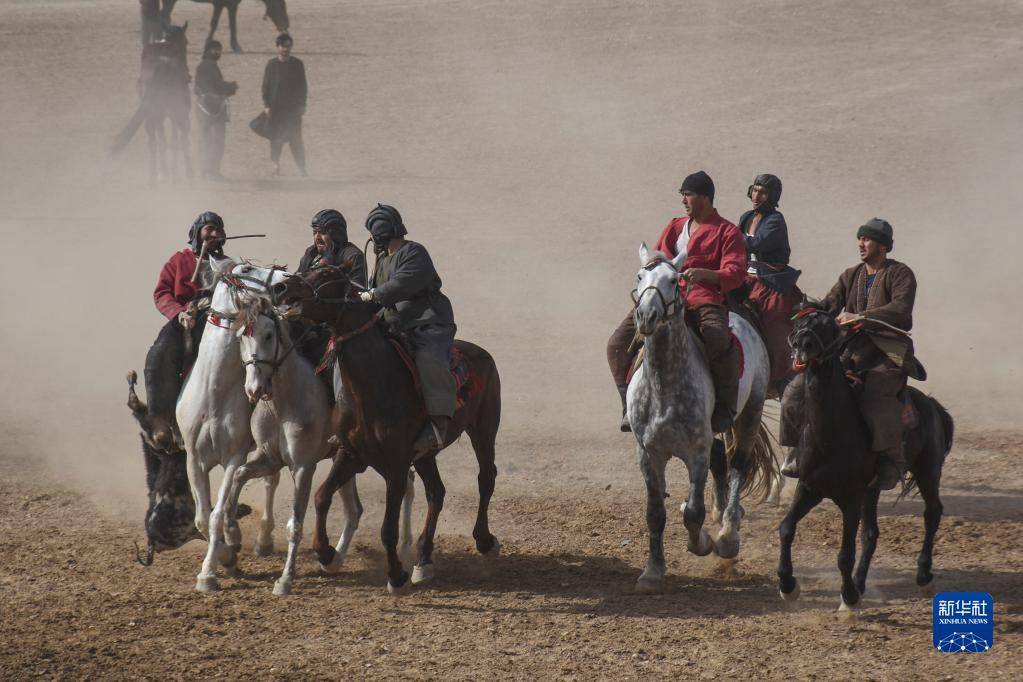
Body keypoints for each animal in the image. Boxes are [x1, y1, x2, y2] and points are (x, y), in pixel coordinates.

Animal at [112, 22, 193, 185]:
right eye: (186, 42)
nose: (189, 75)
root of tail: (163, 65)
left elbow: (163, 140)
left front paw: (166, 172)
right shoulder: (174, 114)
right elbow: (175, 140)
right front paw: (175, 174)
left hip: (153, 113)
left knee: (153, 141)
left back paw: (153, 178)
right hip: (177, 113)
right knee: (181, 138)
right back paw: (187, 176)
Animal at [234, 296, 413, 593]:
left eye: (269, 334)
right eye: (240, 337)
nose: (253, 389)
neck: (284, 403)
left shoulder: (303, 467)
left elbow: (295, 524)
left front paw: (285, 580)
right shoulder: (269, 458)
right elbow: (239, 475)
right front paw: (230, 530)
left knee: (407, 482)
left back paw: (408, 549)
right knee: (354, 510)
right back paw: (333, 559)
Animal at [274, 263, 501, 593]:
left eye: (325, 275)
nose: (280, 288)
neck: (376, 383)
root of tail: (482, 354)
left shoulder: (396, 466)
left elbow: (388, 529)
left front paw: (396, 576)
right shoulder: (350, 455)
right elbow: (321, 496)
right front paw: (326, 553)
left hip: (484, 430)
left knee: (486, 478)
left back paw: (484, 540)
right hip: (426, 454)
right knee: (436, 492)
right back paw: (423, 559)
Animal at [626, 244, 769, 593]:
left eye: (674, 280)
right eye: (640, 277)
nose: (646, 316)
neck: (664, 385)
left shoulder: (696, 452)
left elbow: (693, 511)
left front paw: (702, 543)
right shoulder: (648, 454)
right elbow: (655, 513)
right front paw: (652, 571)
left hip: (751, 412)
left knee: (738, 465)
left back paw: (728, 534)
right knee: (723, 460)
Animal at [777, 306, 953, 609]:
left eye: (828, 326)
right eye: (799, 324)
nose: (802, 345)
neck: (832, 433)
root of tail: (931, 404)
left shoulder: (851, 498)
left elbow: (845, 554)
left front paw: (848, 598)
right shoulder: (809, 488)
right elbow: (787, 528)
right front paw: (788, 585)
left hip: (928, 471)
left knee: (932, 512)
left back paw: (924, 577)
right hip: (873, 490)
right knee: (871, 534)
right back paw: (860, 584)